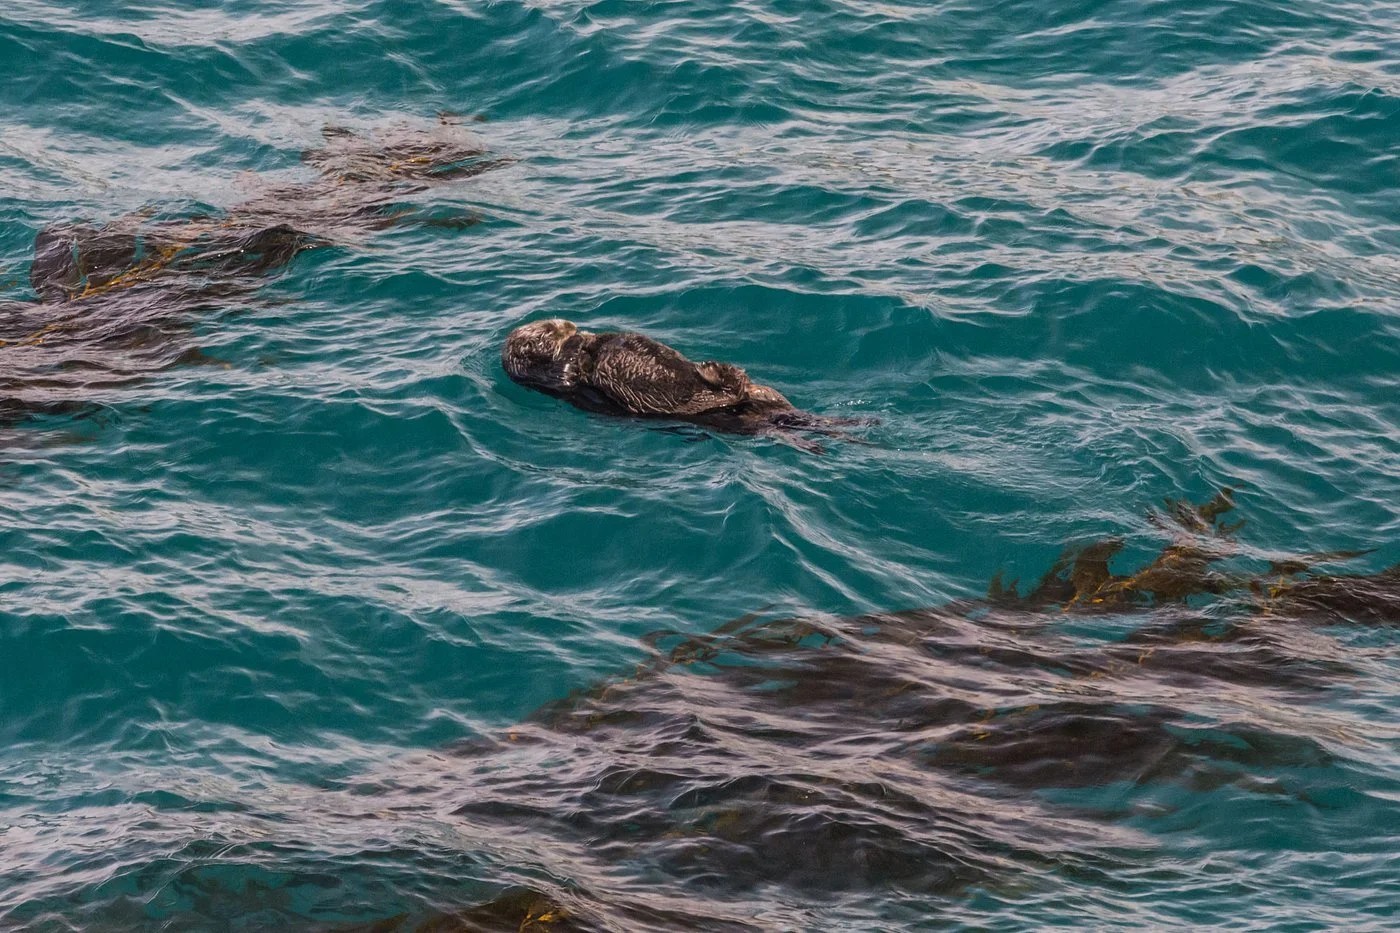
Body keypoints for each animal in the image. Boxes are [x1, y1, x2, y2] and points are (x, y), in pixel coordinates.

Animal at [501, 319, 872, 450]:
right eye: (550, 328)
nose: (569, 324)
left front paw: (594, 339)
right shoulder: (561, 373)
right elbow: (579, 366)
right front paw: (588, 349)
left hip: (767, 395)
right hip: (720, 399)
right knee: (731, 387)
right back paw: (714, 369)